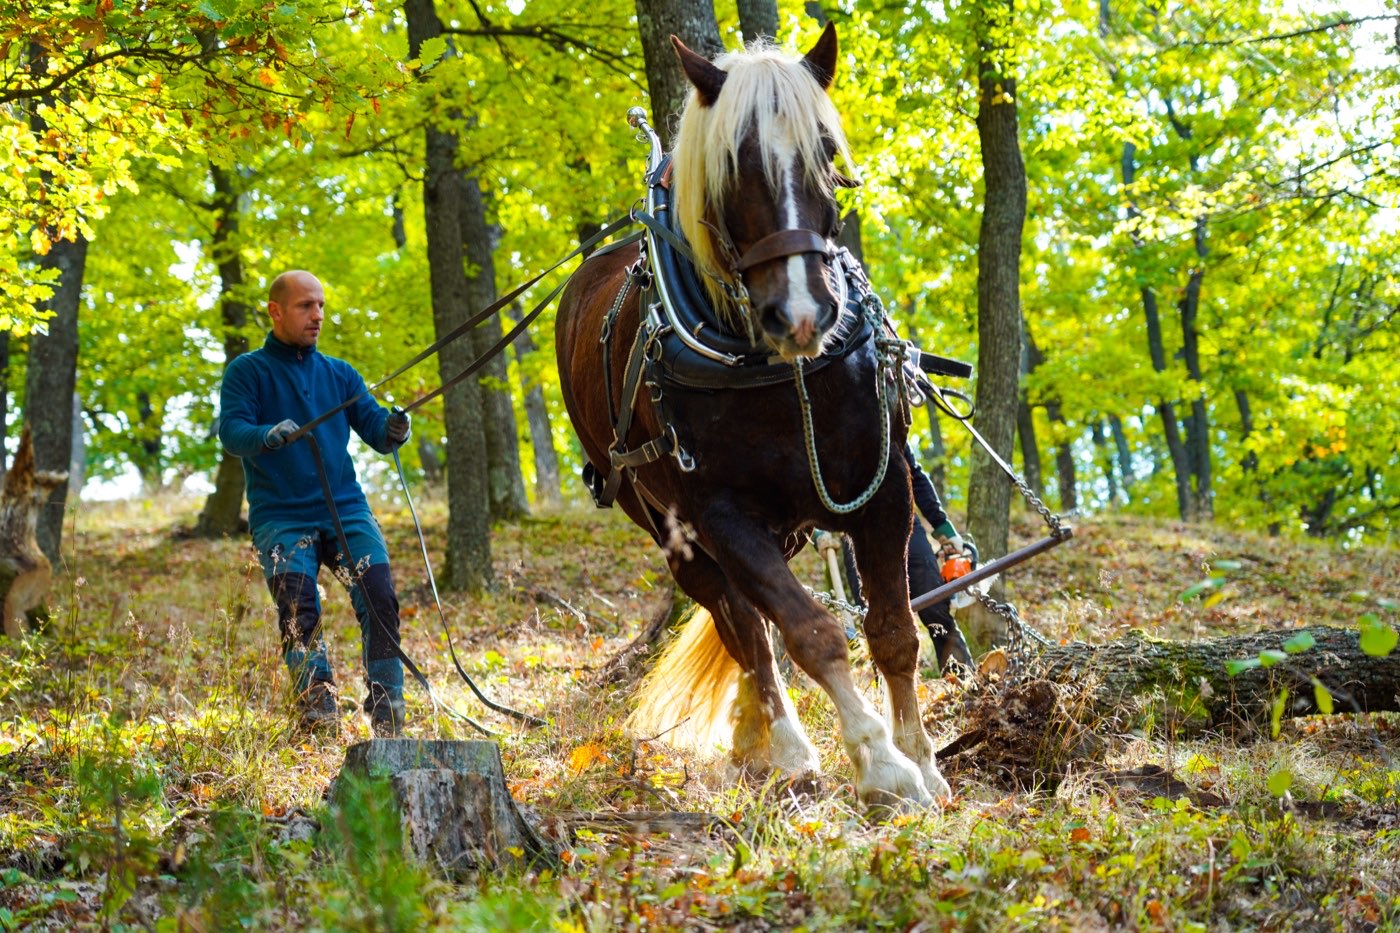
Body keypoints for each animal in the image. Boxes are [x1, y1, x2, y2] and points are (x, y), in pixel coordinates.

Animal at [555, 24, 950, 808]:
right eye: (734, 164)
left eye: (826, 152)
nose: (802, 314)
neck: (780, 376)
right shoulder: (723, 516)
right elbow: (810, 631)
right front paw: (880, 765)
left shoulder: (883, 491)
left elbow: (894, 630)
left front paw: (922, 763)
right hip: (669, 529)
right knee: (741, 625)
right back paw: (786, 746)